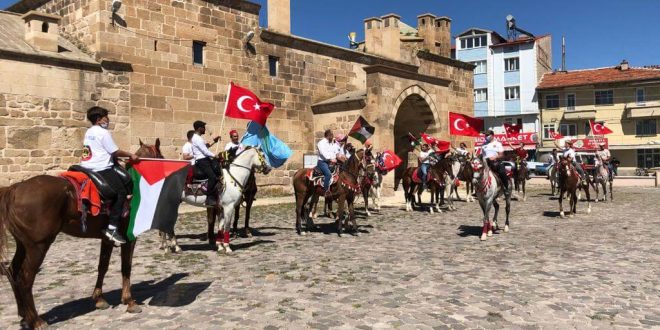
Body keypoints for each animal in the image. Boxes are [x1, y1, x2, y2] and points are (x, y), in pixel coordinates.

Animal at [0, 140, 162, 330]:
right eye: (161, 156)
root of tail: (15, 189)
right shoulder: (129, 238)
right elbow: (126, 267)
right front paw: (129, 301)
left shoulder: (107, 239)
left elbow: (103, 266)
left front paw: (99, 299)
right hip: (38, 246)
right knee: (25, 278)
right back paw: (37, 321)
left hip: (23, 244)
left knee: (13, 271)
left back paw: (24, 317)